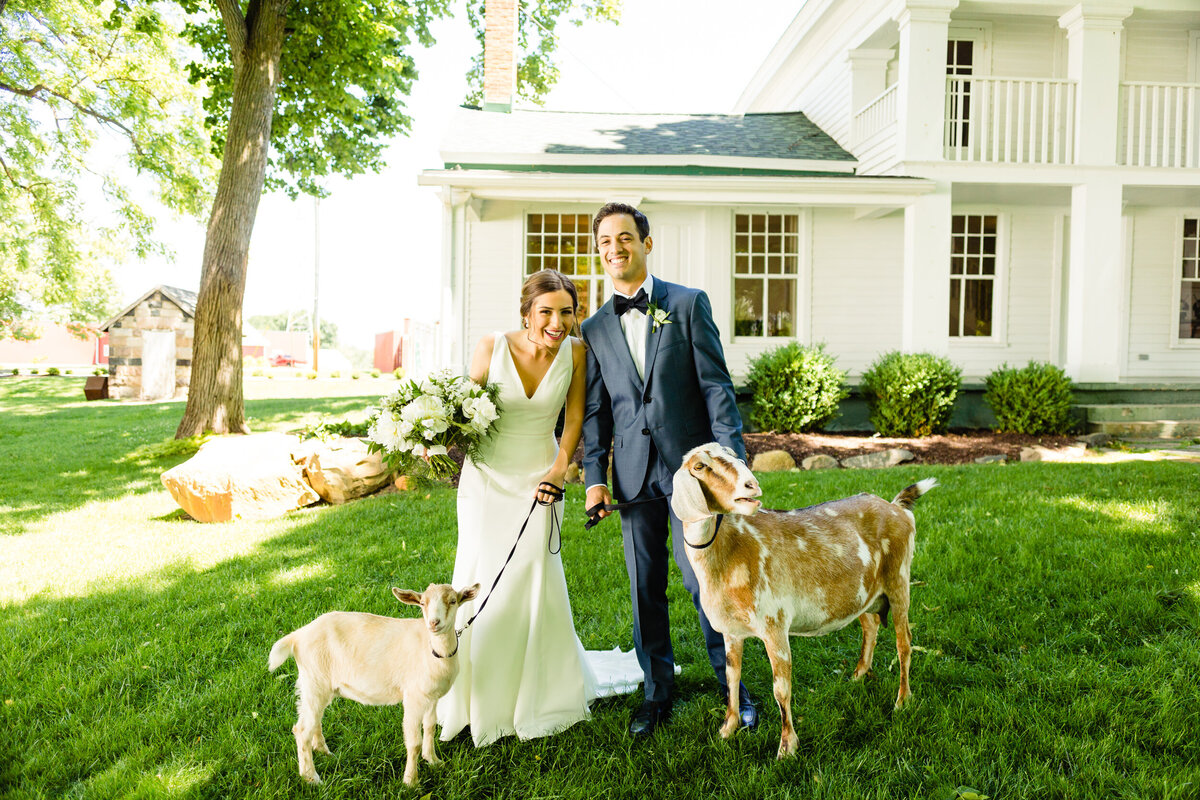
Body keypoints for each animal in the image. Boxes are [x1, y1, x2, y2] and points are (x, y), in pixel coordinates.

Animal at [270, 585, 480, 786]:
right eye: (422, 603)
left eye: (453, 601)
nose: (434, 623)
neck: (433, 650)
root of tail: (297, 636)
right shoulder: (413, 697)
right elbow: (414, 742)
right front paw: (411, 782)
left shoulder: (431, 697)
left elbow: (430, 728)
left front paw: (434, 761)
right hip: (314, 680)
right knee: (301, 730)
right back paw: (312, 778)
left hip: (317, 685)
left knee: (314, 720)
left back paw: (325, 753)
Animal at [672, 441, 931, 762]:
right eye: (699, 466)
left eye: (735, 457)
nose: (751, 485)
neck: (729, 551)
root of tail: (897, 507)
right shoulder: (731, 631)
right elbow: (731, 678)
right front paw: (727, 730)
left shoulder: (774, 624)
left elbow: (780, 689)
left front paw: (786, 748)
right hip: (866, 591)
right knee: (870, 625)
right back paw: (858, 675)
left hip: (899, 580)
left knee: (904, 642)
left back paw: (902, 701)